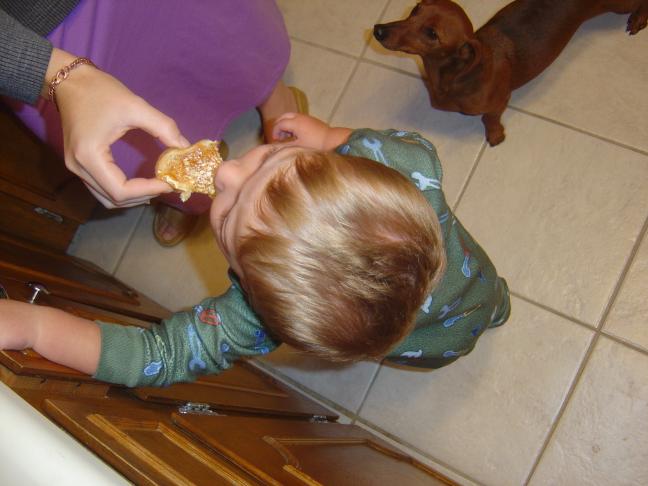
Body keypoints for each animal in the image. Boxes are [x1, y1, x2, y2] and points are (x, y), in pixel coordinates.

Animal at [373, 0, 648, 145]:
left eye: (431, 33)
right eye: (415, 10)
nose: (378, 30)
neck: (456, 73)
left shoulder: (499, 102)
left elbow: (489, 119)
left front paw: (495, 135)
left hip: (619, 5)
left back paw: (639, 19)